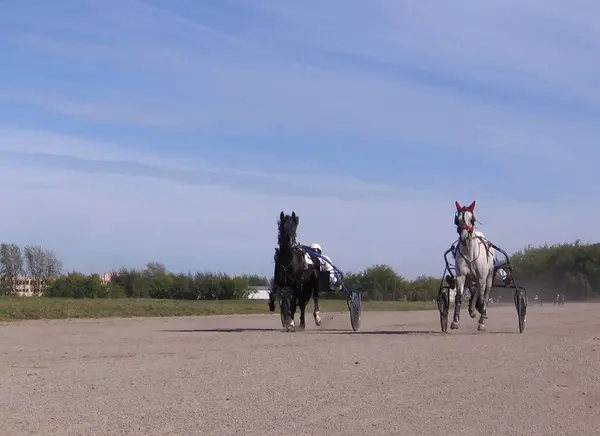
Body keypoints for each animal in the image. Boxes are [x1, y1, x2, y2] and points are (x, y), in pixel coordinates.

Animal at [452, 201, 494, 330]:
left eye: (472, 219)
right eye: (457, 219)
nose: (464, 237)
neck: (470, 253)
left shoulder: (482, 278)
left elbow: (482, 298)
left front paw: (481, 318)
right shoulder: (461, 276)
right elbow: (459, 297)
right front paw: (455, 321)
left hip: (488, 277)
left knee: (485, 294)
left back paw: (481, 316)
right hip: (470, 279)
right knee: (474, 290)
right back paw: (472, 309)